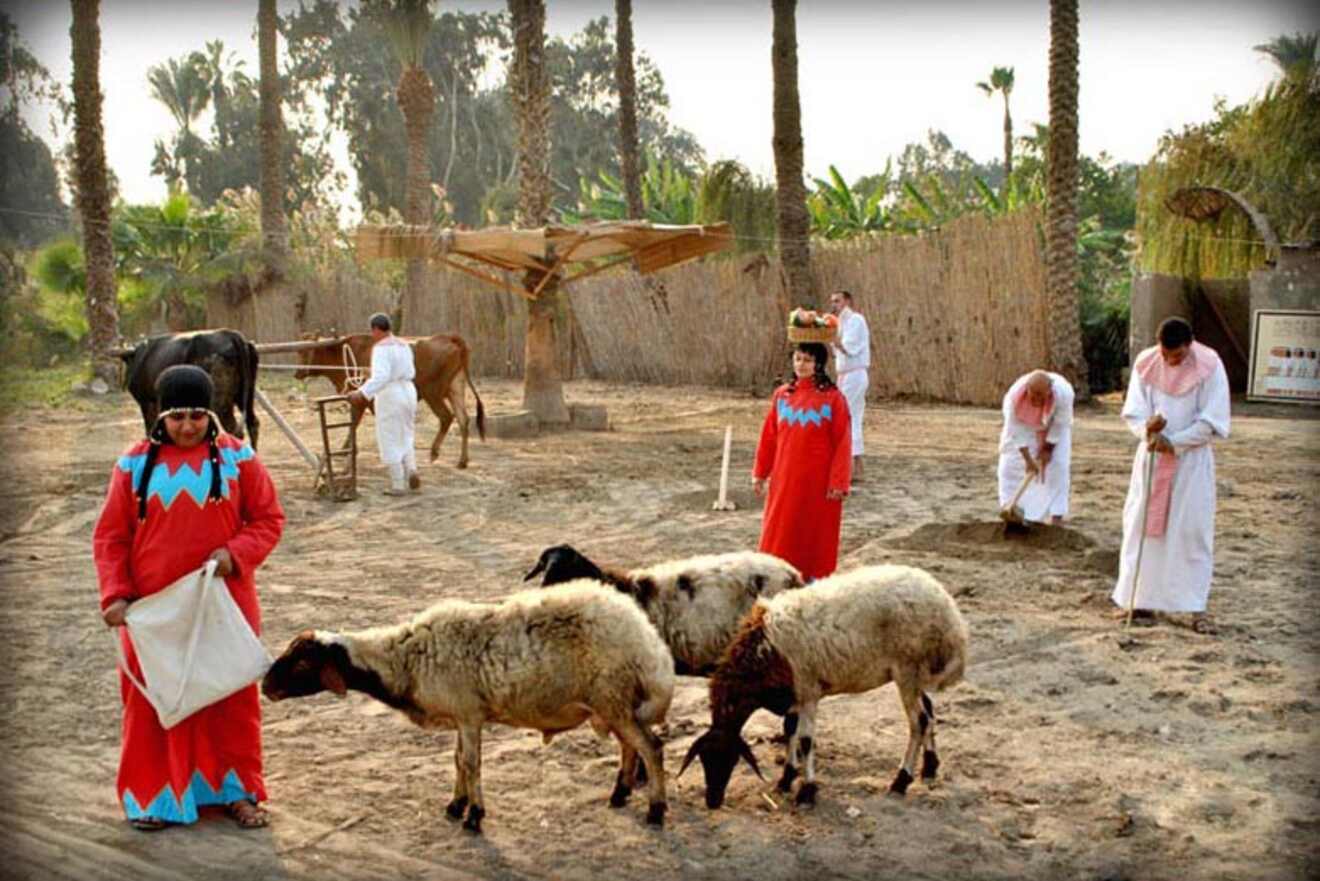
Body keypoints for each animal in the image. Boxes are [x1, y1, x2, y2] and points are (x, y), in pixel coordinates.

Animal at [258, 581, 675, 829]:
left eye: (302, 662)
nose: (265, 686)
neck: (402, 660)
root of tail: (646, 638)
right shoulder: (461, 717)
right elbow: (458, 760)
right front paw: (456, 805)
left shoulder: (470, 714)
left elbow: (472, 763)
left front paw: (474, 816)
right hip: (612, 701)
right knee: (630, 746)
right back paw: (619, 794)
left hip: (613, 696)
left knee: (650, 747)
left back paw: (655, 810)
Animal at [294, 330, 485, 467]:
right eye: (299, 350)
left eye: (307, 350)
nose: (297, 373)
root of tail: (448, 337)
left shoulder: (361, 398)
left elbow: (354, 422)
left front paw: (346, 450)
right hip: (455, 390)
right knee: (463, 420)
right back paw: (462, 461)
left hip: (433, 393)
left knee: (446, 417)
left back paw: (434, 452)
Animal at [681, 567, 971, 808]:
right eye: (703, 760)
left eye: (726, 758)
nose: (712, 801)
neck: (763, 653)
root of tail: (948, 611)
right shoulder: (796, 694)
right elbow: (790, 730)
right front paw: (787, 778)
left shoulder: (808, 690)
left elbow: (806, 740)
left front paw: (806, 791)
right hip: (915, 673)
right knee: (929, 712)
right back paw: (930, 767)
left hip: (907, 669)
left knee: (918, 721)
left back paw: (901, 780)